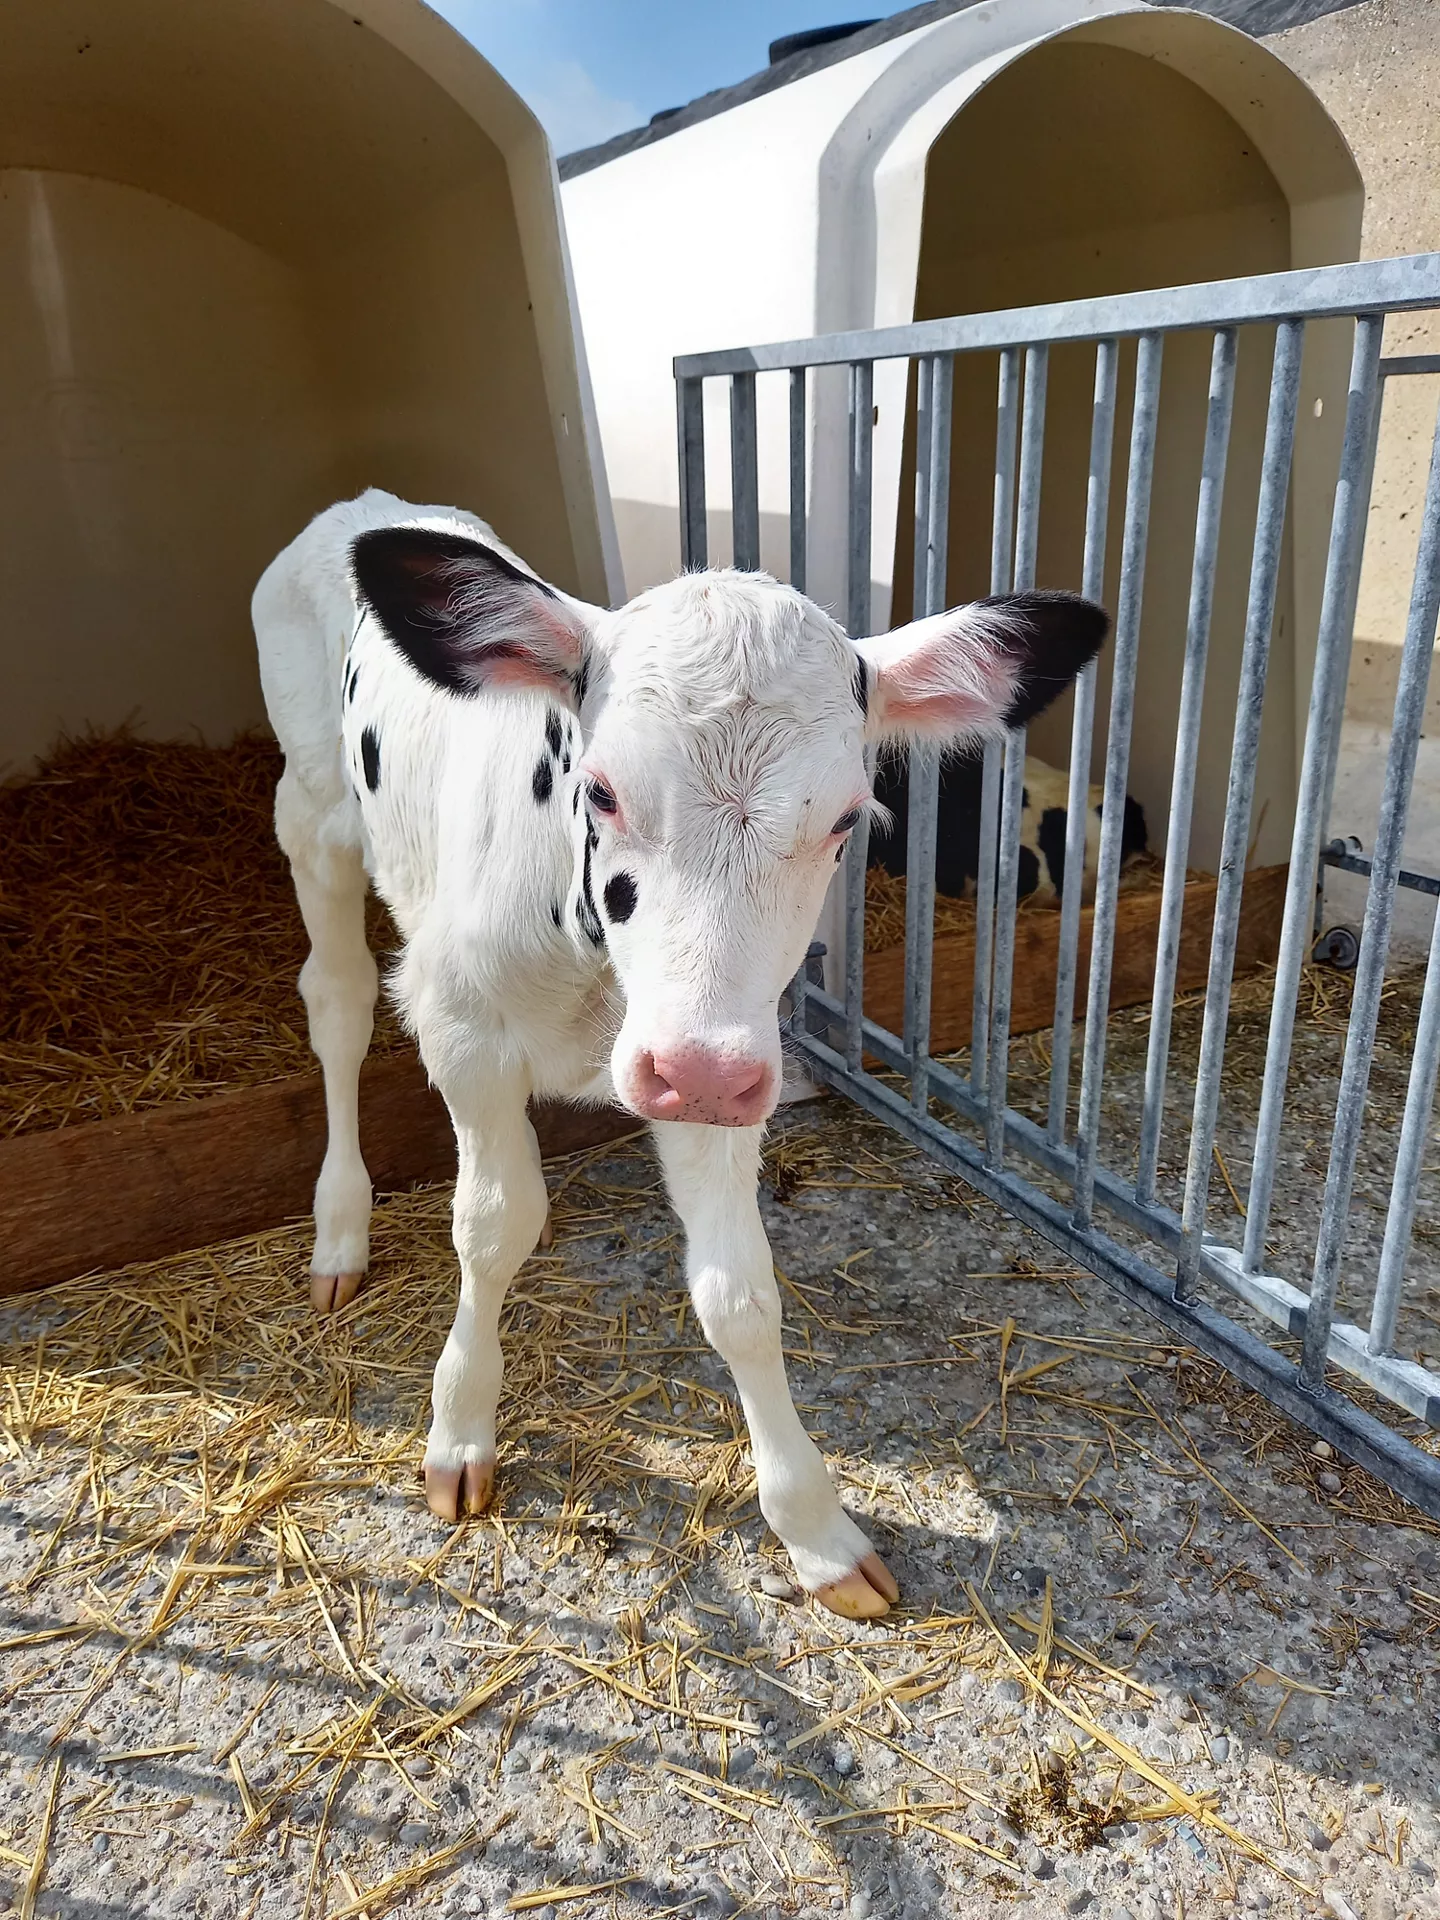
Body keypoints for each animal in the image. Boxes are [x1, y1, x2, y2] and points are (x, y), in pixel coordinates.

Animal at [252, 489, 1108, 1620]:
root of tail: (372, 505)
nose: (695, 1070)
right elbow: (488, 1226)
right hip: (312, 814)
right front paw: (460, 1427)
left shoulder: (723, 1064)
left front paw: (815, 1530)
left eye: (848, 819)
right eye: (601, 790)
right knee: (339, 1003)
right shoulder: (464, 1027)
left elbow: (739, 1293)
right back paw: (339, 1229)